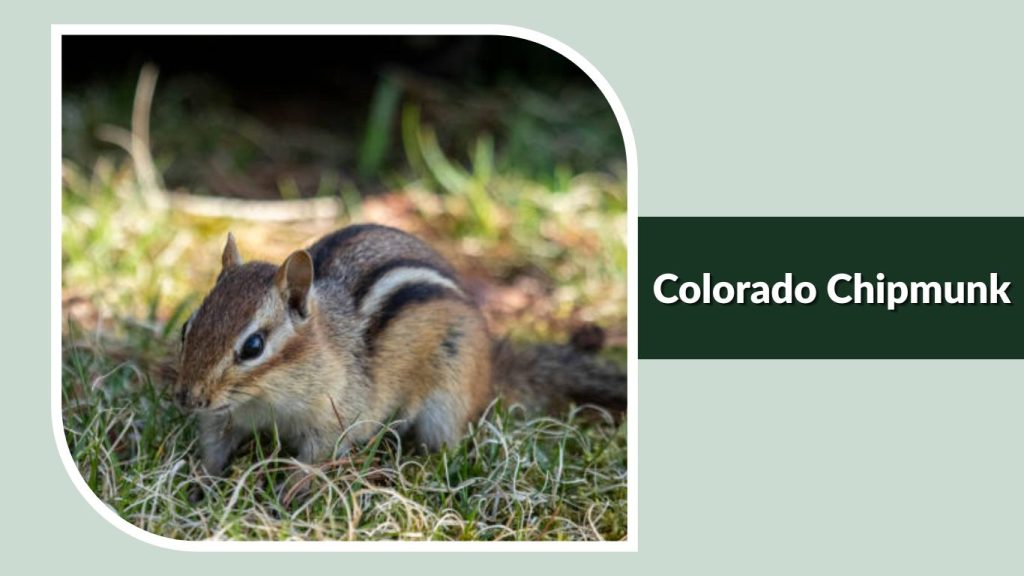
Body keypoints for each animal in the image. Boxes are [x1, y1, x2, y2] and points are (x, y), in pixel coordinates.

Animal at [176, 224, 625, 476]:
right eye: (186, 327)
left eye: (253, 346)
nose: (187, 398)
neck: (265, 399)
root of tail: (489, 370)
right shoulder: (223, 417)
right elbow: (213, 449)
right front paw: (199, 484)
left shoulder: (337, 416)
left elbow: (318, 458)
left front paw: (291, 490)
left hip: (447, 398)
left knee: (444, 444)